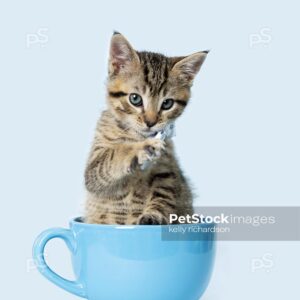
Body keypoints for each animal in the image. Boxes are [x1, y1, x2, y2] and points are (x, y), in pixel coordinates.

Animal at [83, 33, 207, 225]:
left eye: (167, 103)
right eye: (135, 99)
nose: (150, 122)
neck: (135, 135)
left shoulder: (168, 171)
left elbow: (164, 194)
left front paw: (152, 216)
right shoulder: (93, 170)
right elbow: (113, 155)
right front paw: (140, 148)